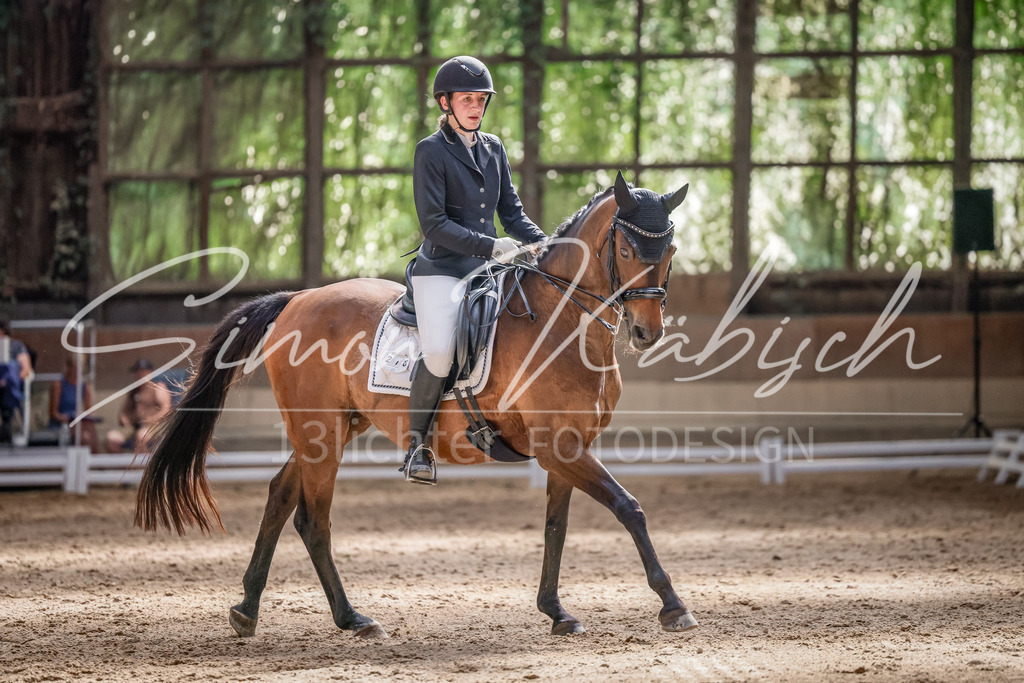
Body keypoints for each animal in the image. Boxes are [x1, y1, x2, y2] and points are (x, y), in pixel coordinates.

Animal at [135, 171, 699, 639]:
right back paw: (352, 618)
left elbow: (555, 528)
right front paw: (673, 605)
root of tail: (297, 299)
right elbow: (629, 508)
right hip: (320, 434)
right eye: (625, 248)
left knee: (279, 498)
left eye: (670, 249)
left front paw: (557, 612)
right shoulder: (560, 447)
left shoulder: (565, 448)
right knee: (313, 520)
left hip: (330, 430)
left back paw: (251, 610)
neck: (561, 321)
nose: (647, 333)